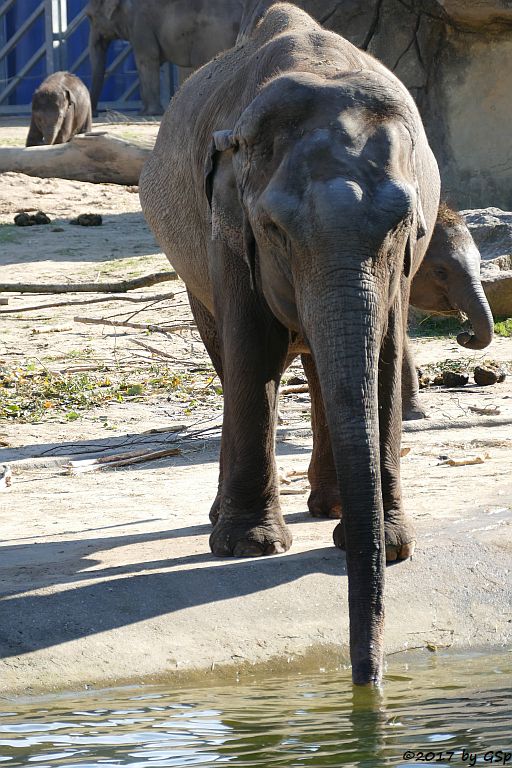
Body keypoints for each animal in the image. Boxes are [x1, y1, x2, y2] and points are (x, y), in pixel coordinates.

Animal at [84, 0, 244, 114]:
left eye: (90, 17)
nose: (96, 113)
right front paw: (144, 111)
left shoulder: (140, 23)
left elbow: (146, 59)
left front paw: (149, 113)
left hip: (212, 37)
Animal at [140, 1, 440, 684]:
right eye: (275, 227)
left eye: (403, 223)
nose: (368, 680)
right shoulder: (228, 229)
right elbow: (252, 352)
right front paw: (247, 547)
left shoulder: (401, 266)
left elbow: (383, 357)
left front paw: (389, 545)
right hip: (190, 265)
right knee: (227, 353)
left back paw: (332, 510)